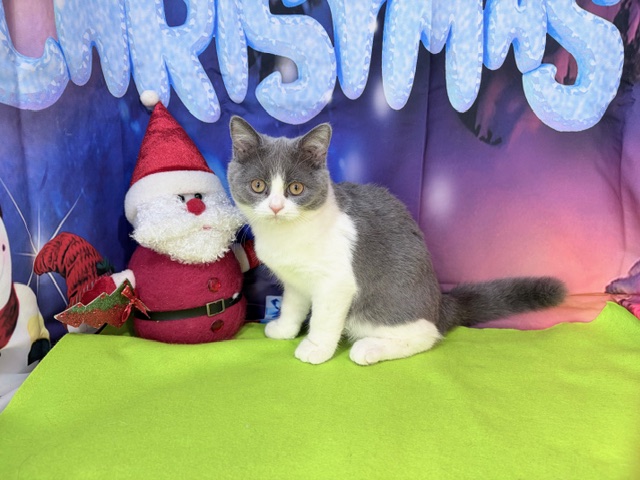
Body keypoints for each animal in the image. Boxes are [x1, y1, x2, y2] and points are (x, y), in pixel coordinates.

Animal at [227, 117, 566, 365]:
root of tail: (440, 304)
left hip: (382, 307)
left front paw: (316, 349)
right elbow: (293, 305)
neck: (287, 234)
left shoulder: (336, 283)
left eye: (295, 188)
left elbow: (323, 318)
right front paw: (284, 329)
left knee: (427, 334)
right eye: (258, 186)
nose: (275, 207)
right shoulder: (295, 280)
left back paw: (368, 349)